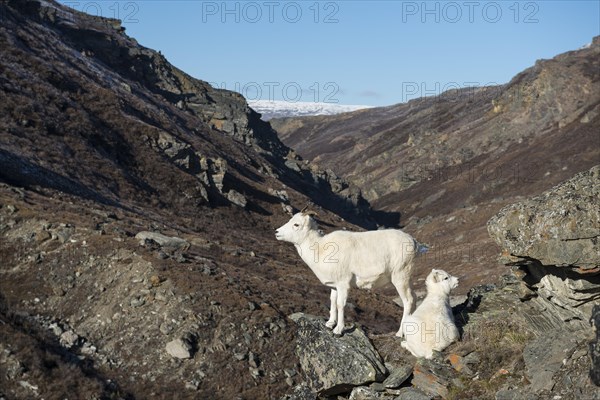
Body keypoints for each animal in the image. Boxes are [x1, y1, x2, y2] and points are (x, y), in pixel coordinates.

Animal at [276, 209, 418, 338]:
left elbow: (340, 304)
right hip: (407, 279)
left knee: (408, 301)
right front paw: (329, 324)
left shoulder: (343, 285)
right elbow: (332, 301)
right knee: (414, 298)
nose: (276, 232)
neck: (320, 249)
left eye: (296, 224)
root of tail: (413, 242)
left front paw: (338, 330)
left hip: (400, 278)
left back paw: (400, 333)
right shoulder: (334, 286)